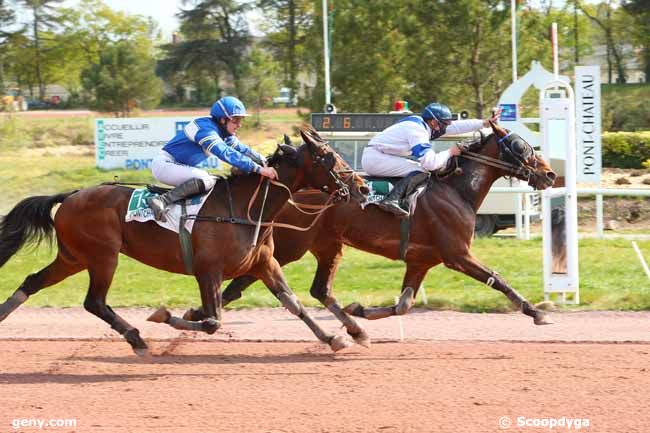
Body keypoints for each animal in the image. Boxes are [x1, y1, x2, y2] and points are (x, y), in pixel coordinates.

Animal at [0, 125, 368, 354]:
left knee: (33, 282)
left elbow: (294, 304)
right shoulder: (209, 271)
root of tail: (71, 195)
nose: (363, 187)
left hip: (74, 257)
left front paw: (335, 338)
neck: (246, 208)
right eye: (330, 157)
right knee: (95, 302)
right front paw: (163, 316)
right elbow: (212, 321)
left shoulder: (264, 264)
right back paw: (137, 338)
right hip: (103, 257)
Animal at [184, 120, 556, 344]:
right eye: (521, 148)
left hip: (327, 244)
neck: (455, 190)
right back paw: (200, 313)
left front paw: (360, 310)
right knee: (241, 283)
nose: (550, 175)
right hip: (291, 246)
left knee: (316, 289)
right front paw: (537, 312)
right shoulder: (457, 255)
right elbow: (498, 279)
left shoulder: (421, 260)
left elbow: (404, 304)